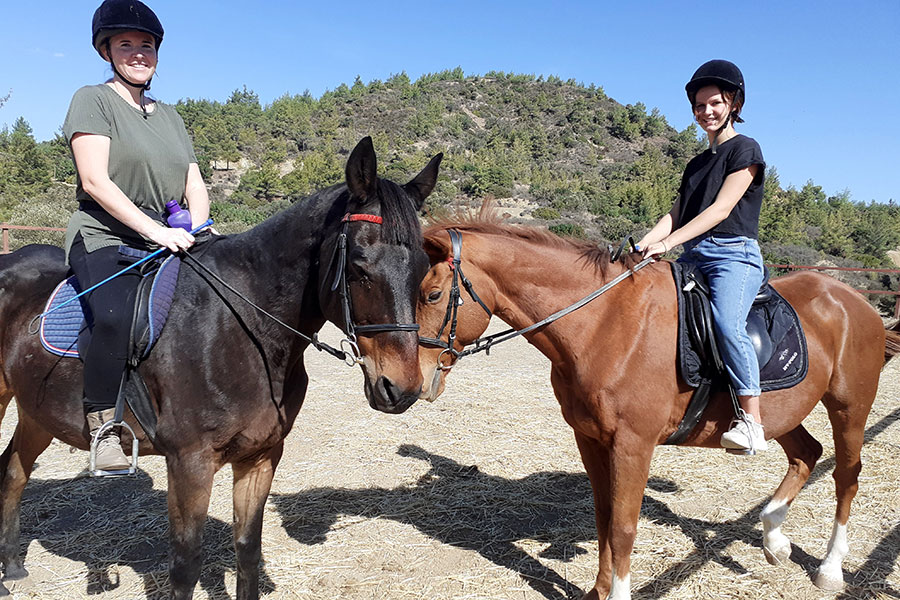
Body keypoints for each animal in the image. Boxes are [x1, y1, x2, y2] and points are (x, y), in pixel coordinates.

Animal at [0, 137, 440, 600]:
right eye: (358, 265)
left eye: (424, 272)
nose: (401, 388)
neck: (243, 326)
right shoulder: (190, 463)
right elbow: (186, 566)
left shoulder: (261, 456)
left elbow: (247, 548)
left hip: (37, 413)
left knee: (13, 471)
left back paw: (12, 567)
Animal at [415, 216, 900, 600]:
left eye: (434, 295)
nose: (413, 382)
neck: (603, 323)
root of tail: (851, 299)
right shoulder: (590, 439)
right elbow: (604, 518)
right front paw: (597, 592)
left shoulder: (633, 445)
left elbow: (624, 527)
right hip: (782, 412)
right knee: (806, 454)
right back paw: (774, 539)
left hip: (849, 407)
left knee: (846, 475)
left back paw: (830, 569)